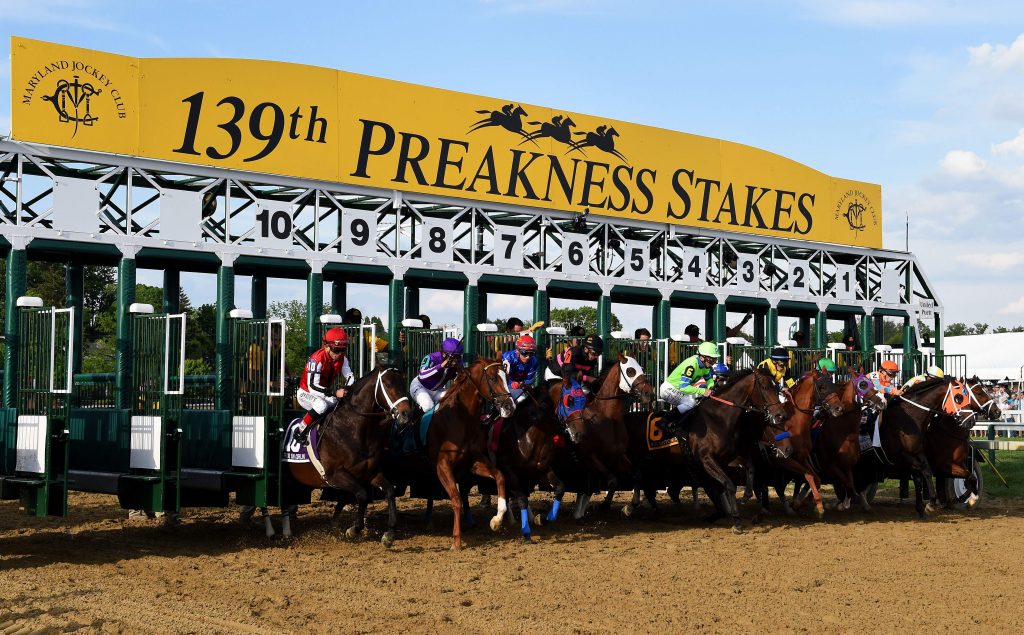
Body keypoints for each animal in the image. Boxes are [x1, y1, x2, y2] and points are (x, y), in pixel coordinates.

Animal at [286, 364, 413, 544]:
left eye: (403, 384)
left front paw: (389, 533)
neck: (351, 429)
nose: (407, 415)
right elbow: (362, 495)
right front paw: (353, 529)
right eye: (388, 385)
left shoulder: (370, 472)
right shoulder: (334, 475)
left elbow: (389, 491)